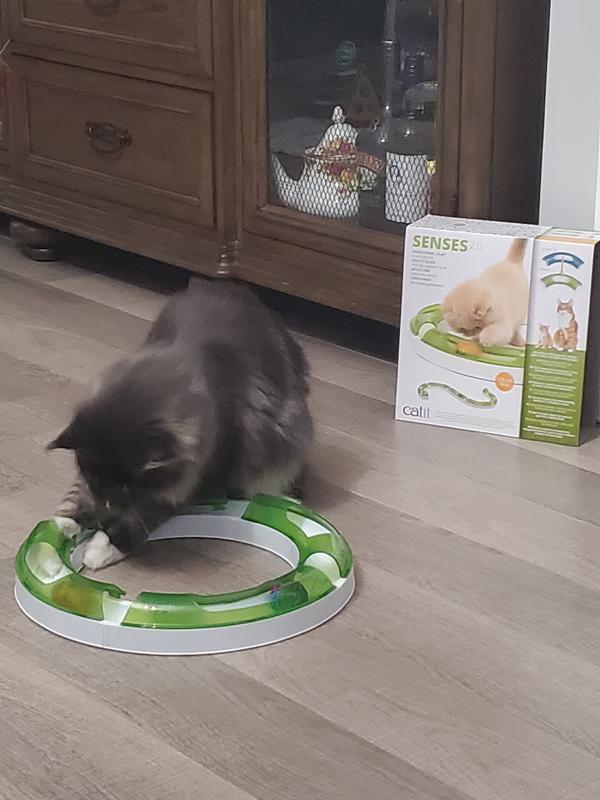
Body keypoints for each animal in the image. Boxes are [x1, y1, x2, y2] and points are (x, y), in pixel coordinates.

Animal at [49, 282, 314, 571]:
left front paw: (103, 547)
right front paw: (66, 520)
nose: (104, 513)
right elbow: (77, 494)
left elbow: (144, 517)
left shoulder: (197, 475)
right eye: (96, 482)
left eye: (126, 490)